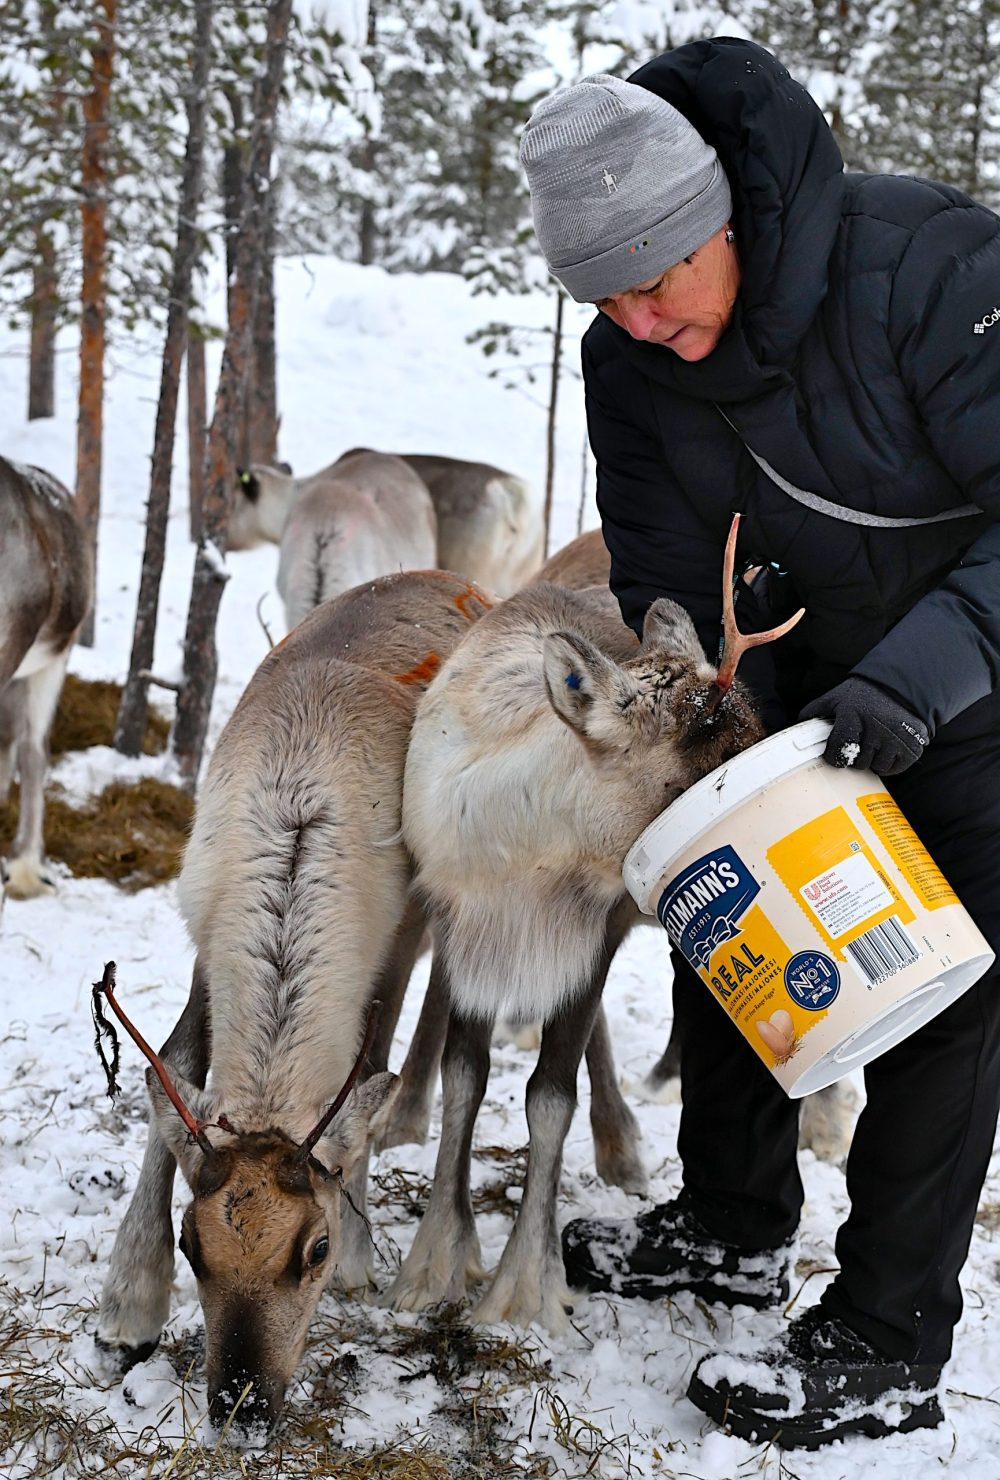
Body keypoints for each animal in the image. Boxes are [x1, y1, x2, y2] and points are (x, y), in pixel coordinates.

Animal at [95, 569, 493, 1440]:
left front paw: (361, 1253)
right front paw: (127, 1306)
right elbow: (174, 1063)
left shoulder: (392, 936)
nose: (241, 1404)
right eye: (190, 1246)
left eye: (313, 1249)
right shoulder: (206, 937)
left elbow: (368, 1068)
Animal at [384, 517, 806, 1331]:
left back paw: (624, 1146)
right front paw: (435, 1263)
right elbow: (465, 1075)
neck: (528, 857)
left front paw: (526, 1287)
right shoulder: (461, 923)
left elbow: (551, 1098)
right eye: (710, 771)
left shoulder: (591, 937)